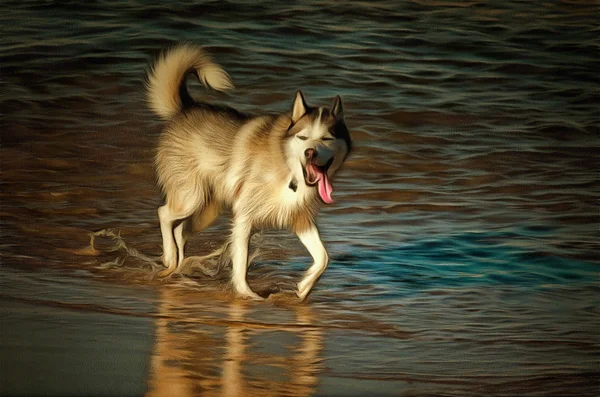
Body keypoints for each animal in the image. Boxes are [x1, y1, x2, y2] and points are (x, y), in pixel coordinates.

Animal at [146, 43, 352, 298]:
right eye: (303, 138)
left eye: (326, 138)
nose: (310, 153)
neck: (287, 168)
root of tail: (185, 109)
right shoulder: (244, 217)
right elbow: (241, 262)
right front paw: (246, 294)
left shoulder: (300, 218)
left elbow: (323, 257)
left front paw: (303, 288)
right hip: (190, 198)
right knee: (164, 214)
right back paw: (169, 256)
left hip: (206, 210)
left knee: (180, 230)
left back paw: (178, 263)